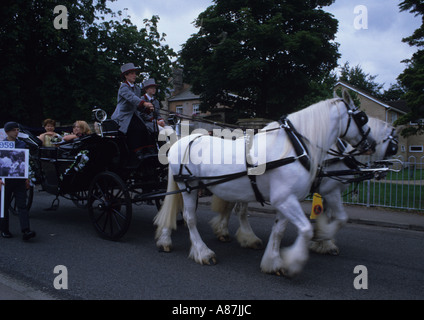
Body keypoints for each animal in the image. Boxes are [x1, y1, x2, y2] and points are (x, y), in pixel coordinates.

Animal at [153, 90, 374, 278]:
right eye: (362, 117)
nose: (371, 143)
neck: (294, 148)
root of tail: (180, 141)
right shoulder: (285, 199)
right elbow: (305, 230)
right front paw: (295, 260)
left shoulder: (288, 199)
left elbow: (279, 231)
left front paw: (273, 262)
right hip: (188, 186)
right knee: (189, 217)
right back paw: (202, 252)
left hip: (189, 186)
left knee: (172, 209)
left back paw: (165, 239)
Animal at [210, 117, 400, 255]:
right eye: (393, 146)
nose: (383, 172)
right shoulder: (331, 190)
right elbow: (336, 217)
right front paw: (324, 241)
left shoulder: (328, 191)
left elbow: (329, 216)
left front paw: (323, 241)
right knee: (239, 210)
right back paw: (248, 238)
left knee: (231, 205)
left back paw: (223, 231)